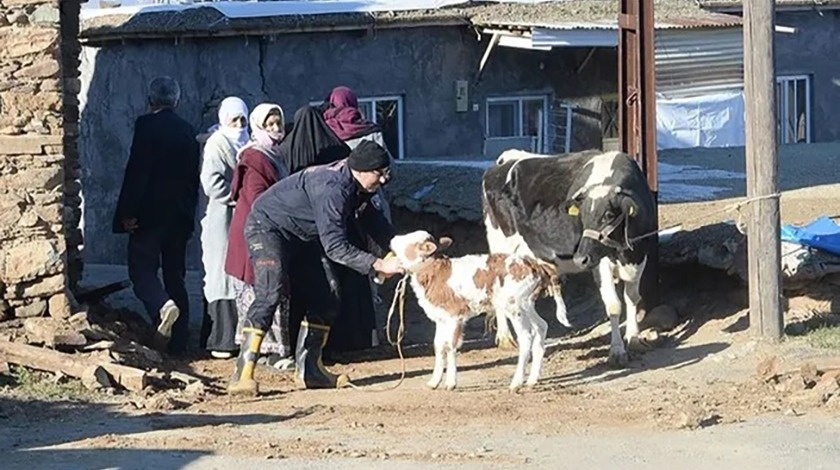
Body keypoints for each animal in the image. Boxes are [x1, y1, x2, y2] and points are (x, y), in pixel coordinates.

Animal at [388, 229, 564, 392]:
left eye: (409, 241)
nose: (393, 238)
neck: (436, 273)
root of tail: (534, 263)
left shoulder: (455, 315)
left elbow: (450, 346)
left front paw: (450, 383)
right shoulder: (441, 317)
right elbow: (438, 345)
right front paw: (434, 382)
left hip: (514, 306)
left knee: (526, 336)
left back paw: (516, 384)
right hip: (527, 304)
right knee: (541, 326)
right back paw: (532, 380)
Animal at [480, 149, 656, 366]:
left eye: (608, 215)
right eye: (582, 217)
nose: (581, 258)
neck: (624, 252)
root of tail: (506, 158)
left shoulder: (640, 256)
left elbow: (632, 297)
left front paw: (634, 338)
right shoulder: (600, 262)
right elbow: (614, 305)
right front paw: (617, 351)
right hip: (499, 246)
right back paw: (505, 339)